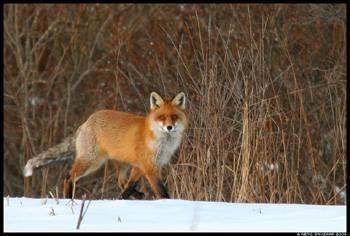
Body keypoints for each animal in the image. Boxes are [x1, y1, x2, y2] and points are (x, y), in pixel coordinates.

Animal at [23, 92, 189, 199]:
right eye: (162, 117)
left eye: (174, 117)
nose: (169, 127)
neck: (163, 144)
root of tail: (86, 122)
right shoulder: (149, 167)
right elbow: (162, 192)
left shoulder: (143, 166)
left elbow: (129, 186)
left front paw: (123, 198)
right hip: (91, 162)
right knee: (69, 177)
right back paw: (68, 199)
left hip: (122, 164)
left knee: (121, 181)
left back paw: (135, 195)